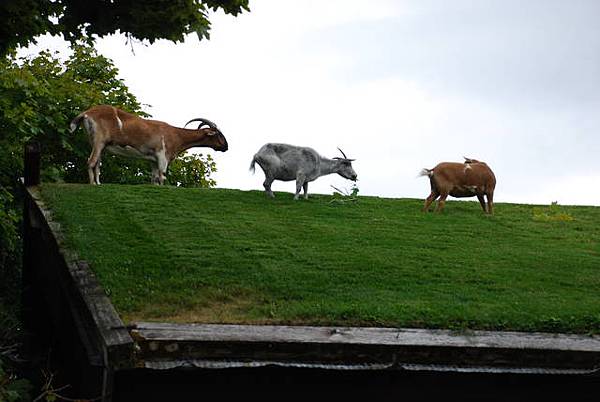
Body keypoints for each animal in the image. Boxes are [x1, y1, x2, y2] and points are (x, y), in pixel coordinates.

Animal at [69, 104, 229, 185]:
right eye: (219, 134)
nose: (226, 147)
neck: (175, 134)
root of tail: (86, 113)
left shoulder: (153, 160)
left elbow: (154, 178)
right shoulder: (162, 156)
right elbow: (162, 176)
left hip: (99, 144)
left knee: (97, 164)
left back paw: (98, 183)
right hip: (99, 140)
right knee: (91, 162)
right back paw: (92, 184)